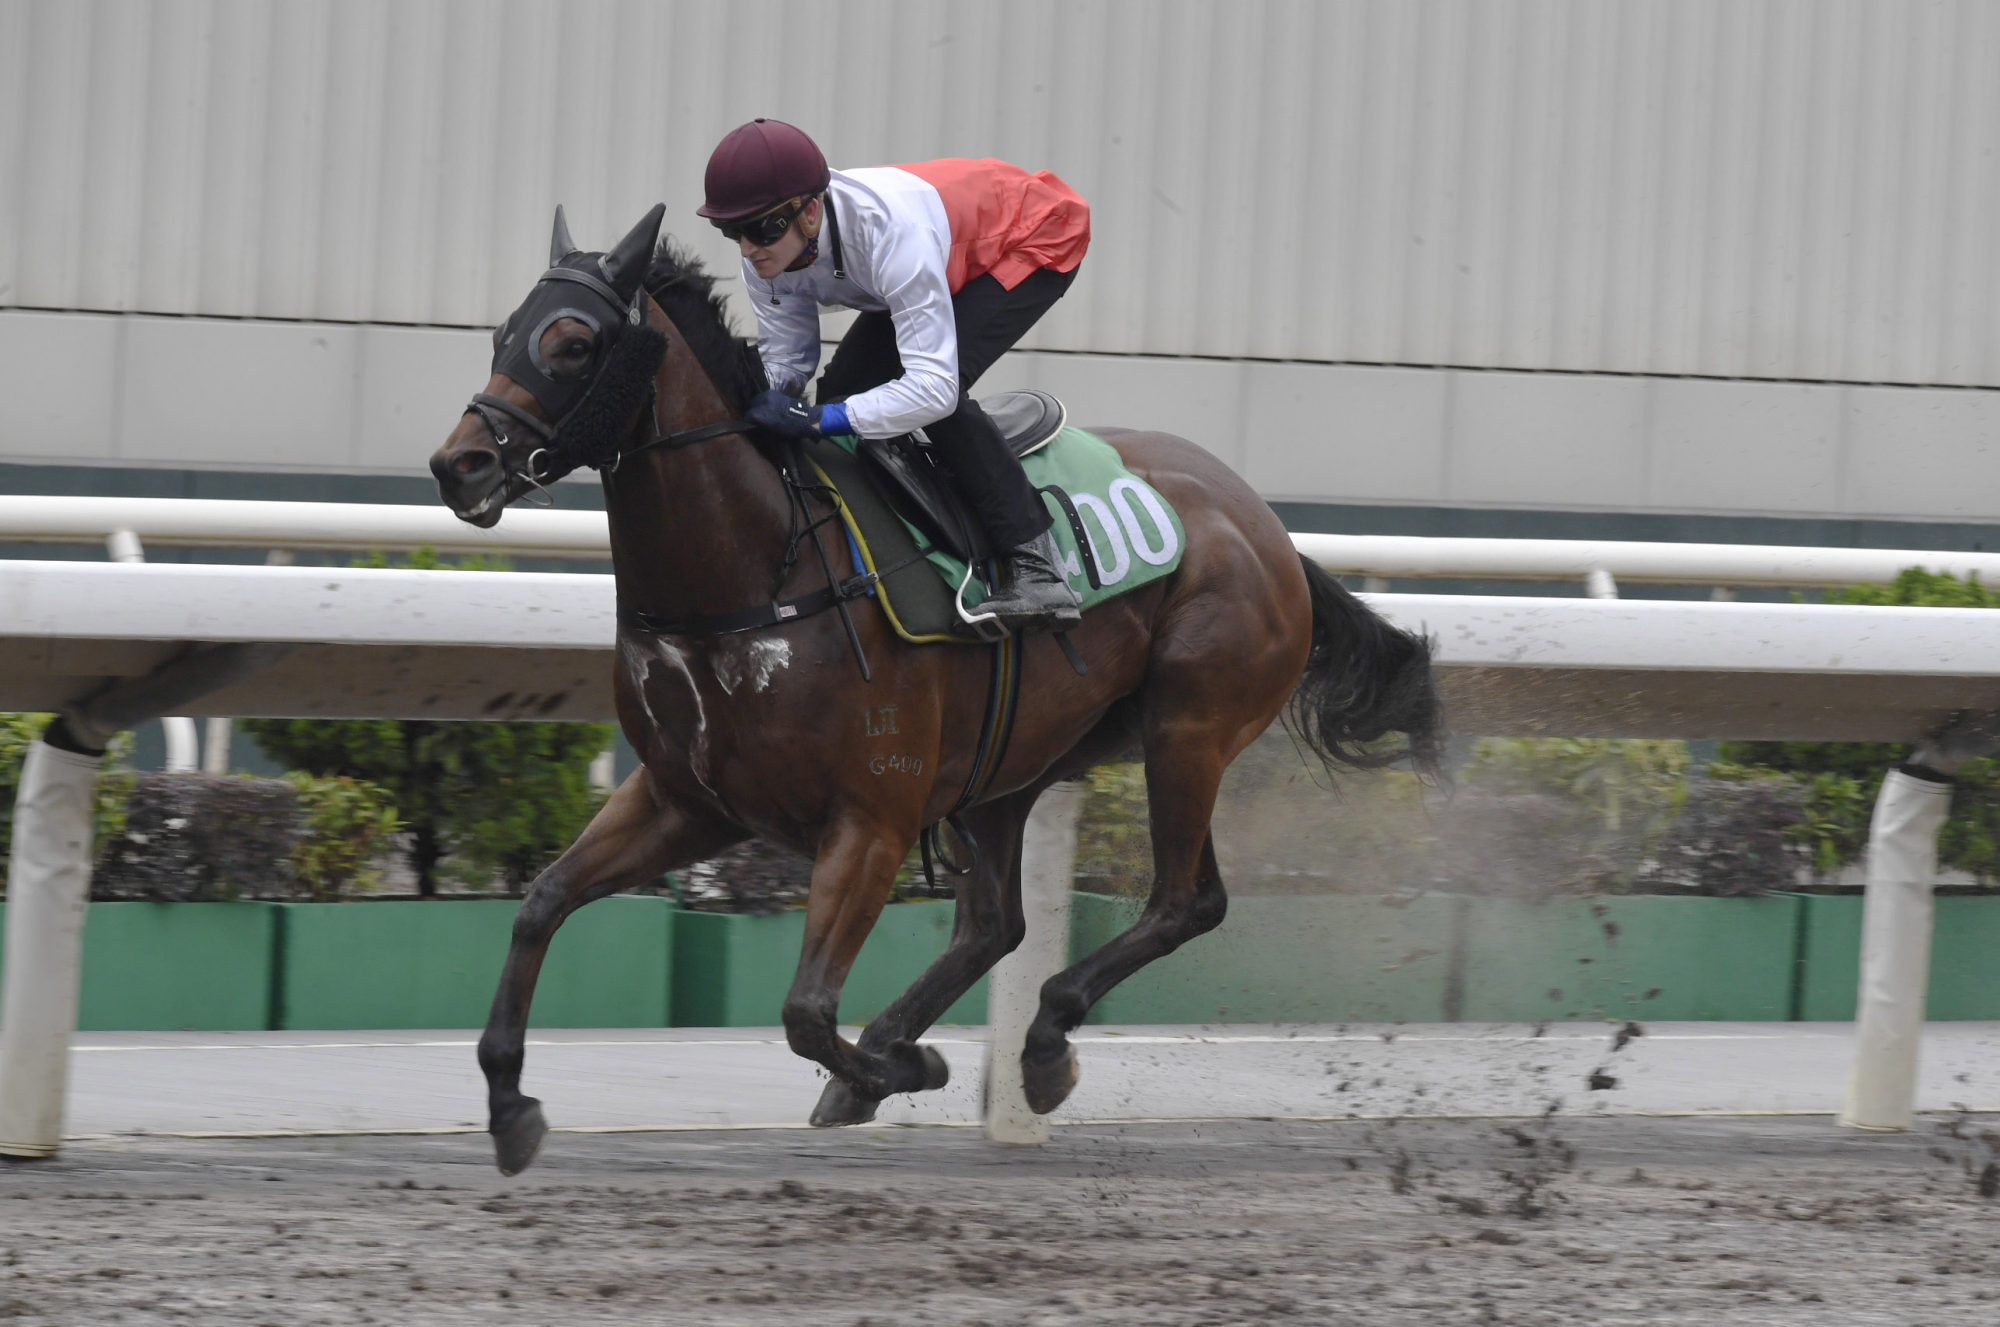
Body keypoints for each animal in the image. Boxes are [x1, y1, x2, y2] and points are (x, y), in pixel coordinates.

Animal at [434, 204, 1440, 1175]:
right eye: (501, 333)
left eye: (572, 342)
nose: (459, 465)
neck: (756, 570)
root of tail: (1267, 526)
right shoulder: (688, 799)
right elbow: (542, 902)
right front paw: (509, 1102)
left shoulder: (870, 819)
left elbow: (805, 1009)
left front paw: (907, 1066)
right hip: (1015, 761)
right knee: (999, 922)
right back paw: (930, 1044)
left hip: (1187, 729)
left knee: (1181, 900)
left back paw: (1038, 1041)